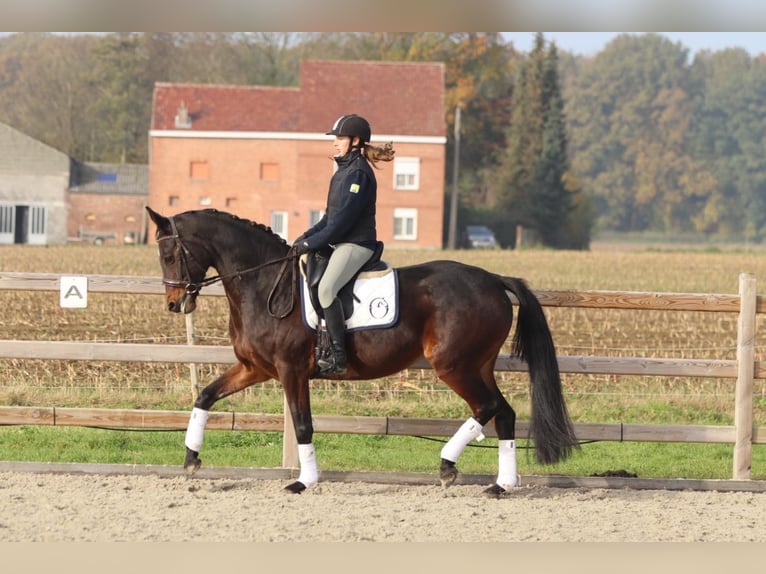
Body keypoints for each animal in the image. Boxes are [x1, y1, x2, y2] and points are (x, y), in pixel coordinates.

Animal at [147, 208, 580, 500]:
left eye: (169, 255)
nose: (173, 304)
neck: (264, 282)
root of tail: (492, 279)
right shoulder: (254, 367)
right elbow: (204, 396)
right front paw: (190, 460)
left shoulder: (290, 371)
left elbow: (303, 425)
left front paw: (304, 481)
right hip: (478, 364)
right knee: (503, 413)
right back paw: (501, 484)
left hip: (453, 365)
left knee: (487, 407)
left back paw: (447, 465)